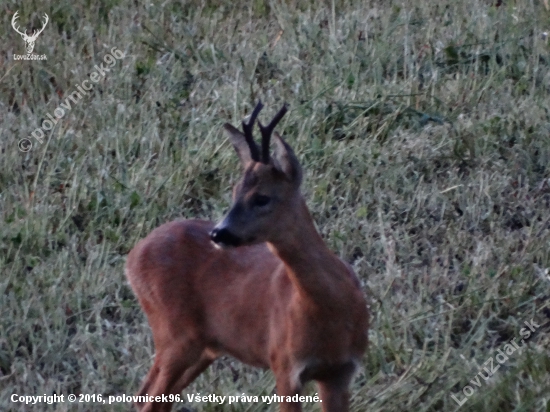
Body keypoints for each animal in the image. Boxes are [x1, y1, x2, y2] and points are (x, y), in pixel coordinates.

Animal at [126, 102, 370, 412]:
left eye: (262, 197)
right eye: (234, 192)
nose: (219, 233)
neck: (332, 312)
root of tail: (131, 259)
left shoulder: (341, 371)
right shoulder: (284, 363)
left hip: (204, 346)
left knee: (150, 395)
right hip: (173, 332)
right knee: (149, 397)